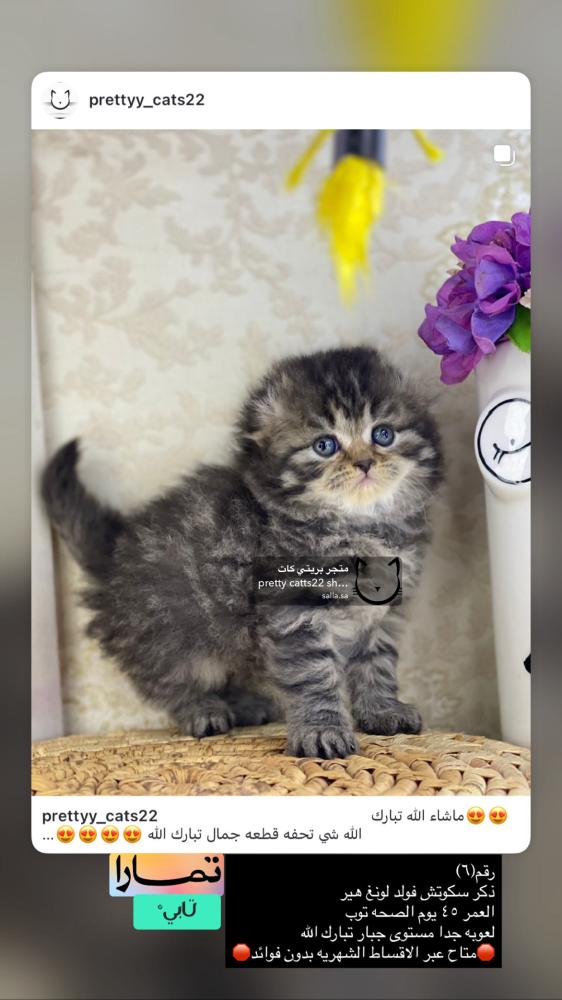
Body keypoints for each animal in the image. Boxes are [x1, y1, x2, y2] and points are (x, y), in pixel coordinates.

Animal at [42, 346, 442, 759]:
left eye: (383, 434)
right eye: (325, 445)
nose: (364, 463)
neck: (358, 527)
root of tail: (115, 553)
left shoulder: (382, 615)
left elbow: (377, 665)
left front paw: (382, 711)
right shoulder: (293, 611)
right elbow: (314, 676)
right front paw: (321, 730)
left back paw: (245, 705)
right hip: (172, 633)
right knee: (169, 681)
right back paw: (202, 710)